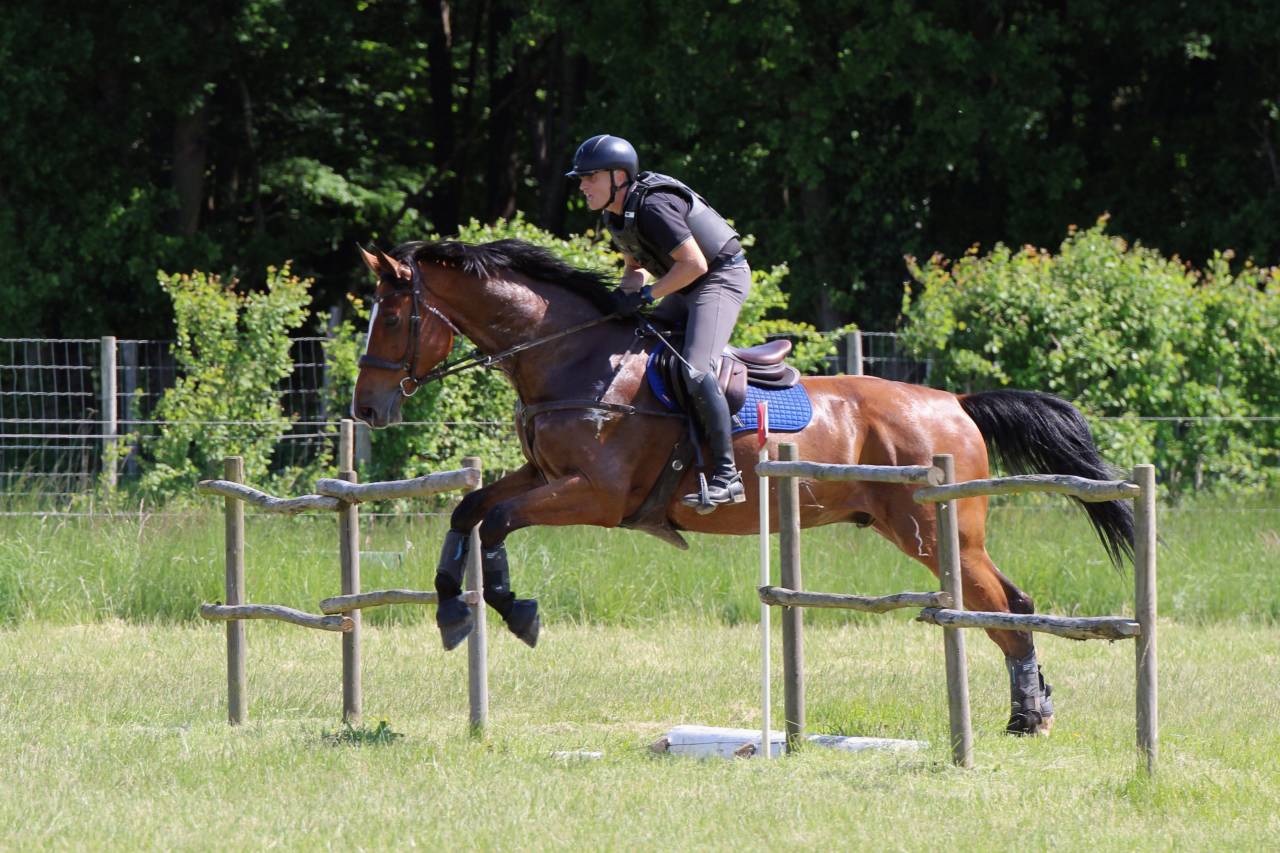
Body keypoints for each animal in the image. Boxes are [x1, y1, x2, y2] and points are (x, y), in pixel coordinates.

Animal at [352, 238, 1133, 736]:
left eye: (391, 318)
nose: (366, 409)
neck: (573, 358)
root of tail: (957, 402)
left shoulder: (594, 496)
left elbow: (498, 520)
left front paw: (513, 610)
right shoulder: (545, 476)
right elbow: (471, 508)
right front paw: (452, 607)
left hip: (936, 533)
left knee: (1004, 607)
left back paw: (1029, 715)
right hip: (933, 533)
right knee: (1008, 604)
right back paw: (1027, 711)